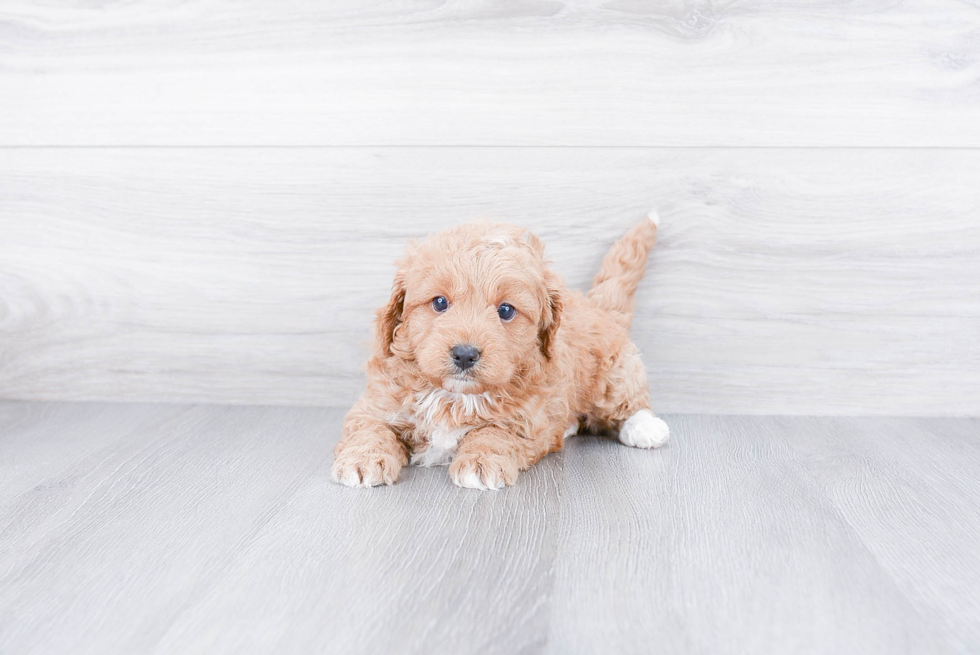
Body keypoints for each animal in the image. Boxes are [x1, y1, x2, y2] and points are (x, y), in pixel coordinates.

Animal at [334, 213, 668, 490]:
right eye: (439, 303)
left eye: (506, 310)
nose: (464, 354)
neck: (454, 397)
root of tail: (595, 305)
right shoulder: (376, 403)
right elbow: (370, 427)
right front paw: (362, 459)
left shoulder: (527, 419)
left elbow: (495, 432)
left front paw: (481, 462)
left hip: (615, 373)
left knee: (629, 402)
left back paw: (645, 427)